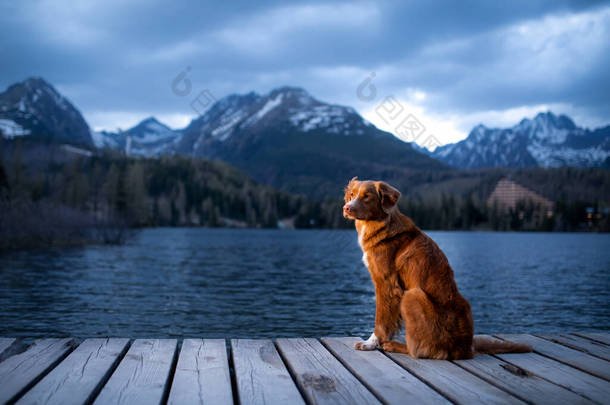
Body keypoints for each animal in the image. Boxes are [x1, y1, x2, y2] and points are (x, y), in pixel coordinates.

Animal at [340, 175, 528, 358]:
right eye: (352, 195)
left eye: (366, 196)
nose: (346, 208)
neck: (380, 224)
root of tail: (465, 348)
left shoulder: (386, 283)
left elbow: (381, 319)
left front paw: (370, 343)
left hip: (412, 295)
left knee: (421, 350)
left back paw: (394, 346)